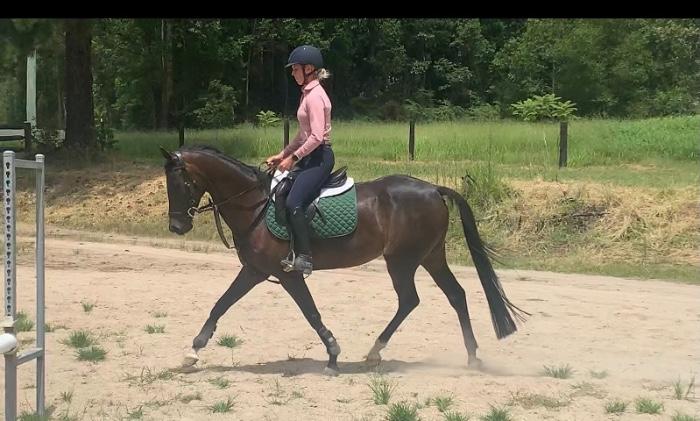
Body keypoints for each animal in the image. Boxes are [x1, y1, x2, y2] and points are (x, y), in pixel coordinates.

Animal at [160, 144, 527, 375]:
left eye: (181, 182)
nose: (177, 227)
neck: (256, 205)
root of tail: (434, 189)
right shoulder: (253, 270)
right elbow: (221, 304)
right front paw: (193, 351)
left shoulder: (287, 274)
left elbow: (310, 313)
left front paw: (333, 356)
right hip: (430, 257)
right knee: (455, 295)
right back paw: (470, 357)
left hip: (403, 260)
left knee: (411, 299)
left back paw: (377, 351)